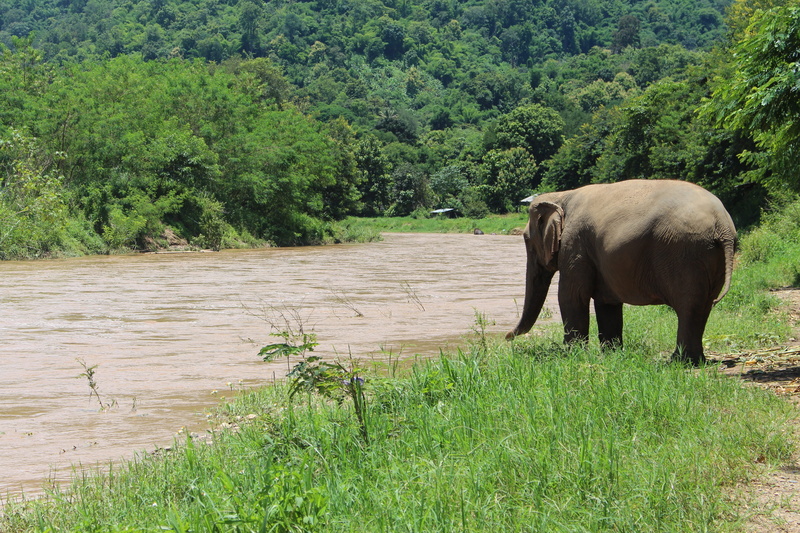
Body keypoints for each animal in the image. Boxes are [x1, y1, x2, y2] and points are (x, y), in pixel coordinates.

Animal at [506, 179, 736, 365]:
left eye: (526, 240)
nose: (507, 337)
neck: (561, 195)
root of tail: (723, 224)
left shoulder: (575, 244)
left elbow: (571, 296)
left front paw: (572, 354)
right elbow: (607, 303)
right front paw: (612, 354)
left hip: (685, 254)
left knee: (689, 306)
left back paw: (679, 362)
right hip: (708, 256)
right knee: (703, 307)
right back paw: (695, 361)